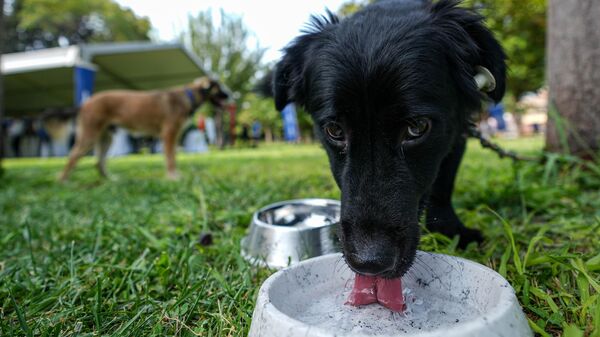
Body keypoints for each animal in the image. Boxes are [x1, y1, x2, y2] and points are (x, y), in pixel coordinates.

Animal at [59, 77, 227, 181]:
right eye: (219, 87)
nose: (230, 95)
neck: (188, 96)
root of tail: (85, 103)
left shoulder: (174, 136)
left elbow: (173, 156)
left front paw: (174, 174)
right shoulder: (169, 134)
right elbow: (170, 158)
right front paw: (173, 176)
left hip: (105, 137)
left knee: (99, 162)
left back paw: (110, 179)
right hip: (89, 135)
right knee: (73, 156)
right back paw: (63, 180)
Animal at [276, 0, 506, 276]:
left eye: (417, 126)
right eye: (335, 130)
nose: (369, 263)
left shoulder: (457, 133)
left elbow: (443, 184)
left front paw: (451, 230)